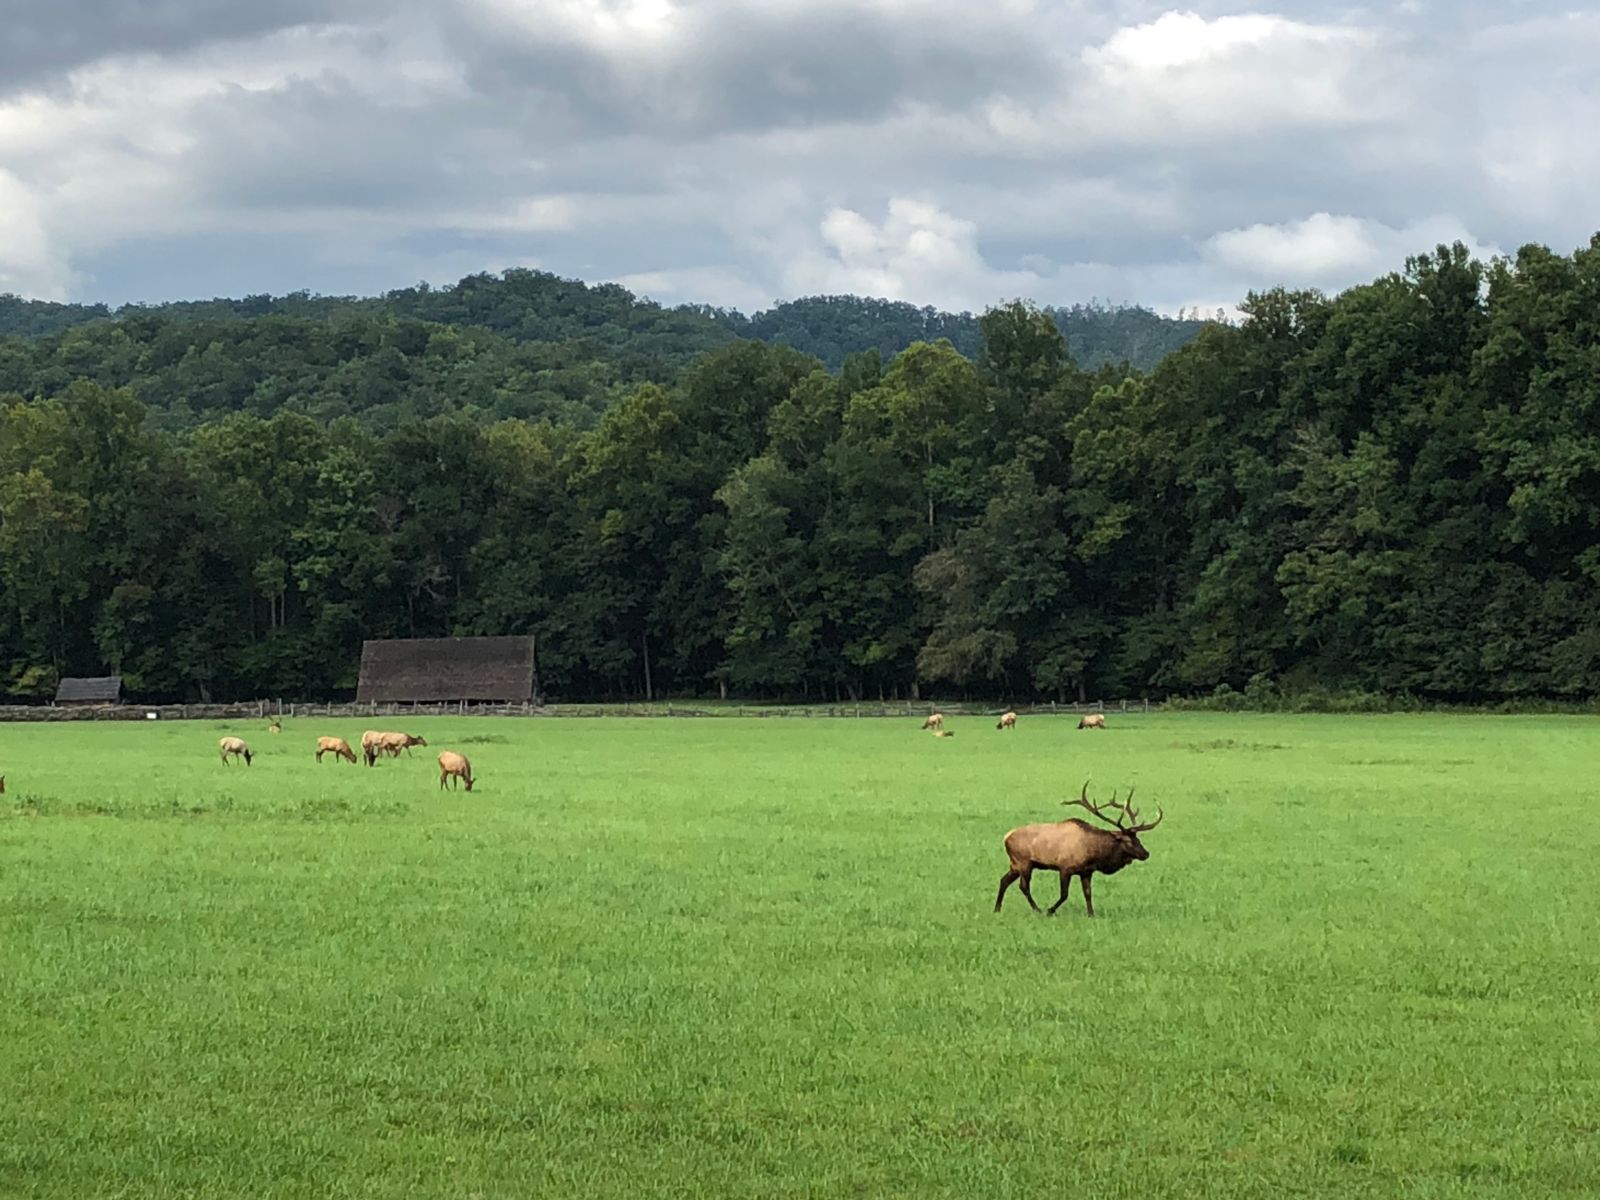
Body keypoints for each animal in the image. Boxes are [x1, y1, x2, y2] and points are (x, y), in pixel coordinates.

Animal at [985, 780, 1164, 921]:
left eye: (1138, 839)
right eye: (1127, 841)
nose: (1146, 853)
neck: (1094, 853)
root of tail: (1005, 837)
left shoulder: (1087, 871)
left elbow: (1088, 893)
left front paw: (1091, 914)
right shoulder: (1065, 868)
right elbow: (1064, 894)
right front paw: (1050, 910)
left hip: (1015, 864)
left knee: (1004, 880)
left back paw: (997, 909)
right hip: (1024, 862)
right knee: (1023, 886)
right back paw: (1037, 909)